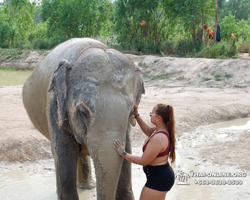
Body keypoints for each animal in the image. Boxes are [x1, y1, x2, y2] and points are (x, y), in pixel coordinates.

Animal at [22, 38, 146, 200]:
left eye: (131, 111)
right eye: (83, 112)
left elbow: (127, 154)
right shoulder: (54, 107)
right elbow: (64, 156)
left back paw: (87, 186)